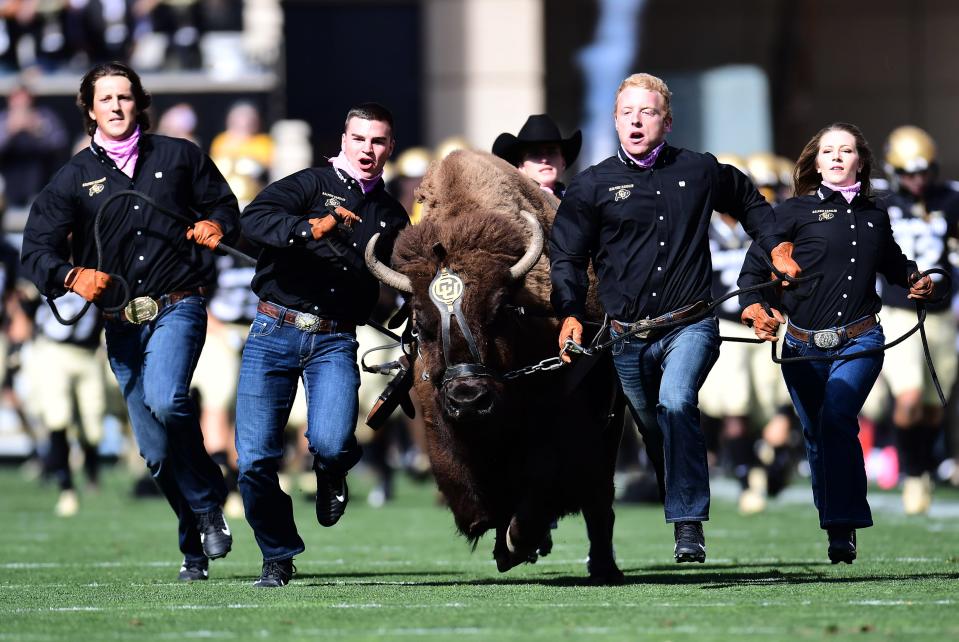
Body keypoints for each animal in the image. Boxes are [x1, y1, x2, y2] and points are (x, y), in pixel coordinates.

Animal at [366, 149, 624, 580]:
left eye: (500, 311)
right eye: (420, 323)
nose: (469, 400)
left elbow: (543, 487)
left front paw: (519, 543)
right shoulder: (439, 424)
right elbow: (477, 506)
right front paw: (506, 543)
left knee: (599, 501)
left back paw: (604, 569)